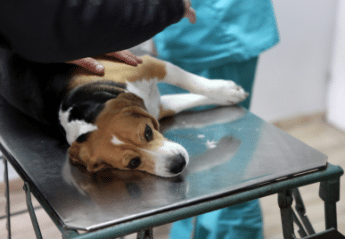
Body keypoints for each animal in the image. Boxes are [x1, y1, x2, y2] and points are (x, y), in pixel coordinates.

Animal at [59, 54, 247, 177]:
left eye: (148, 132)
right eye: (133, 163)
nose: (178, 163)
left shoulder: (148, 64)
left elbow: (189, 81)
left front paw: (226, 91)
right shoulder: (158, 107)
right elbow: (184, 98)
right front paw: (229, 95)